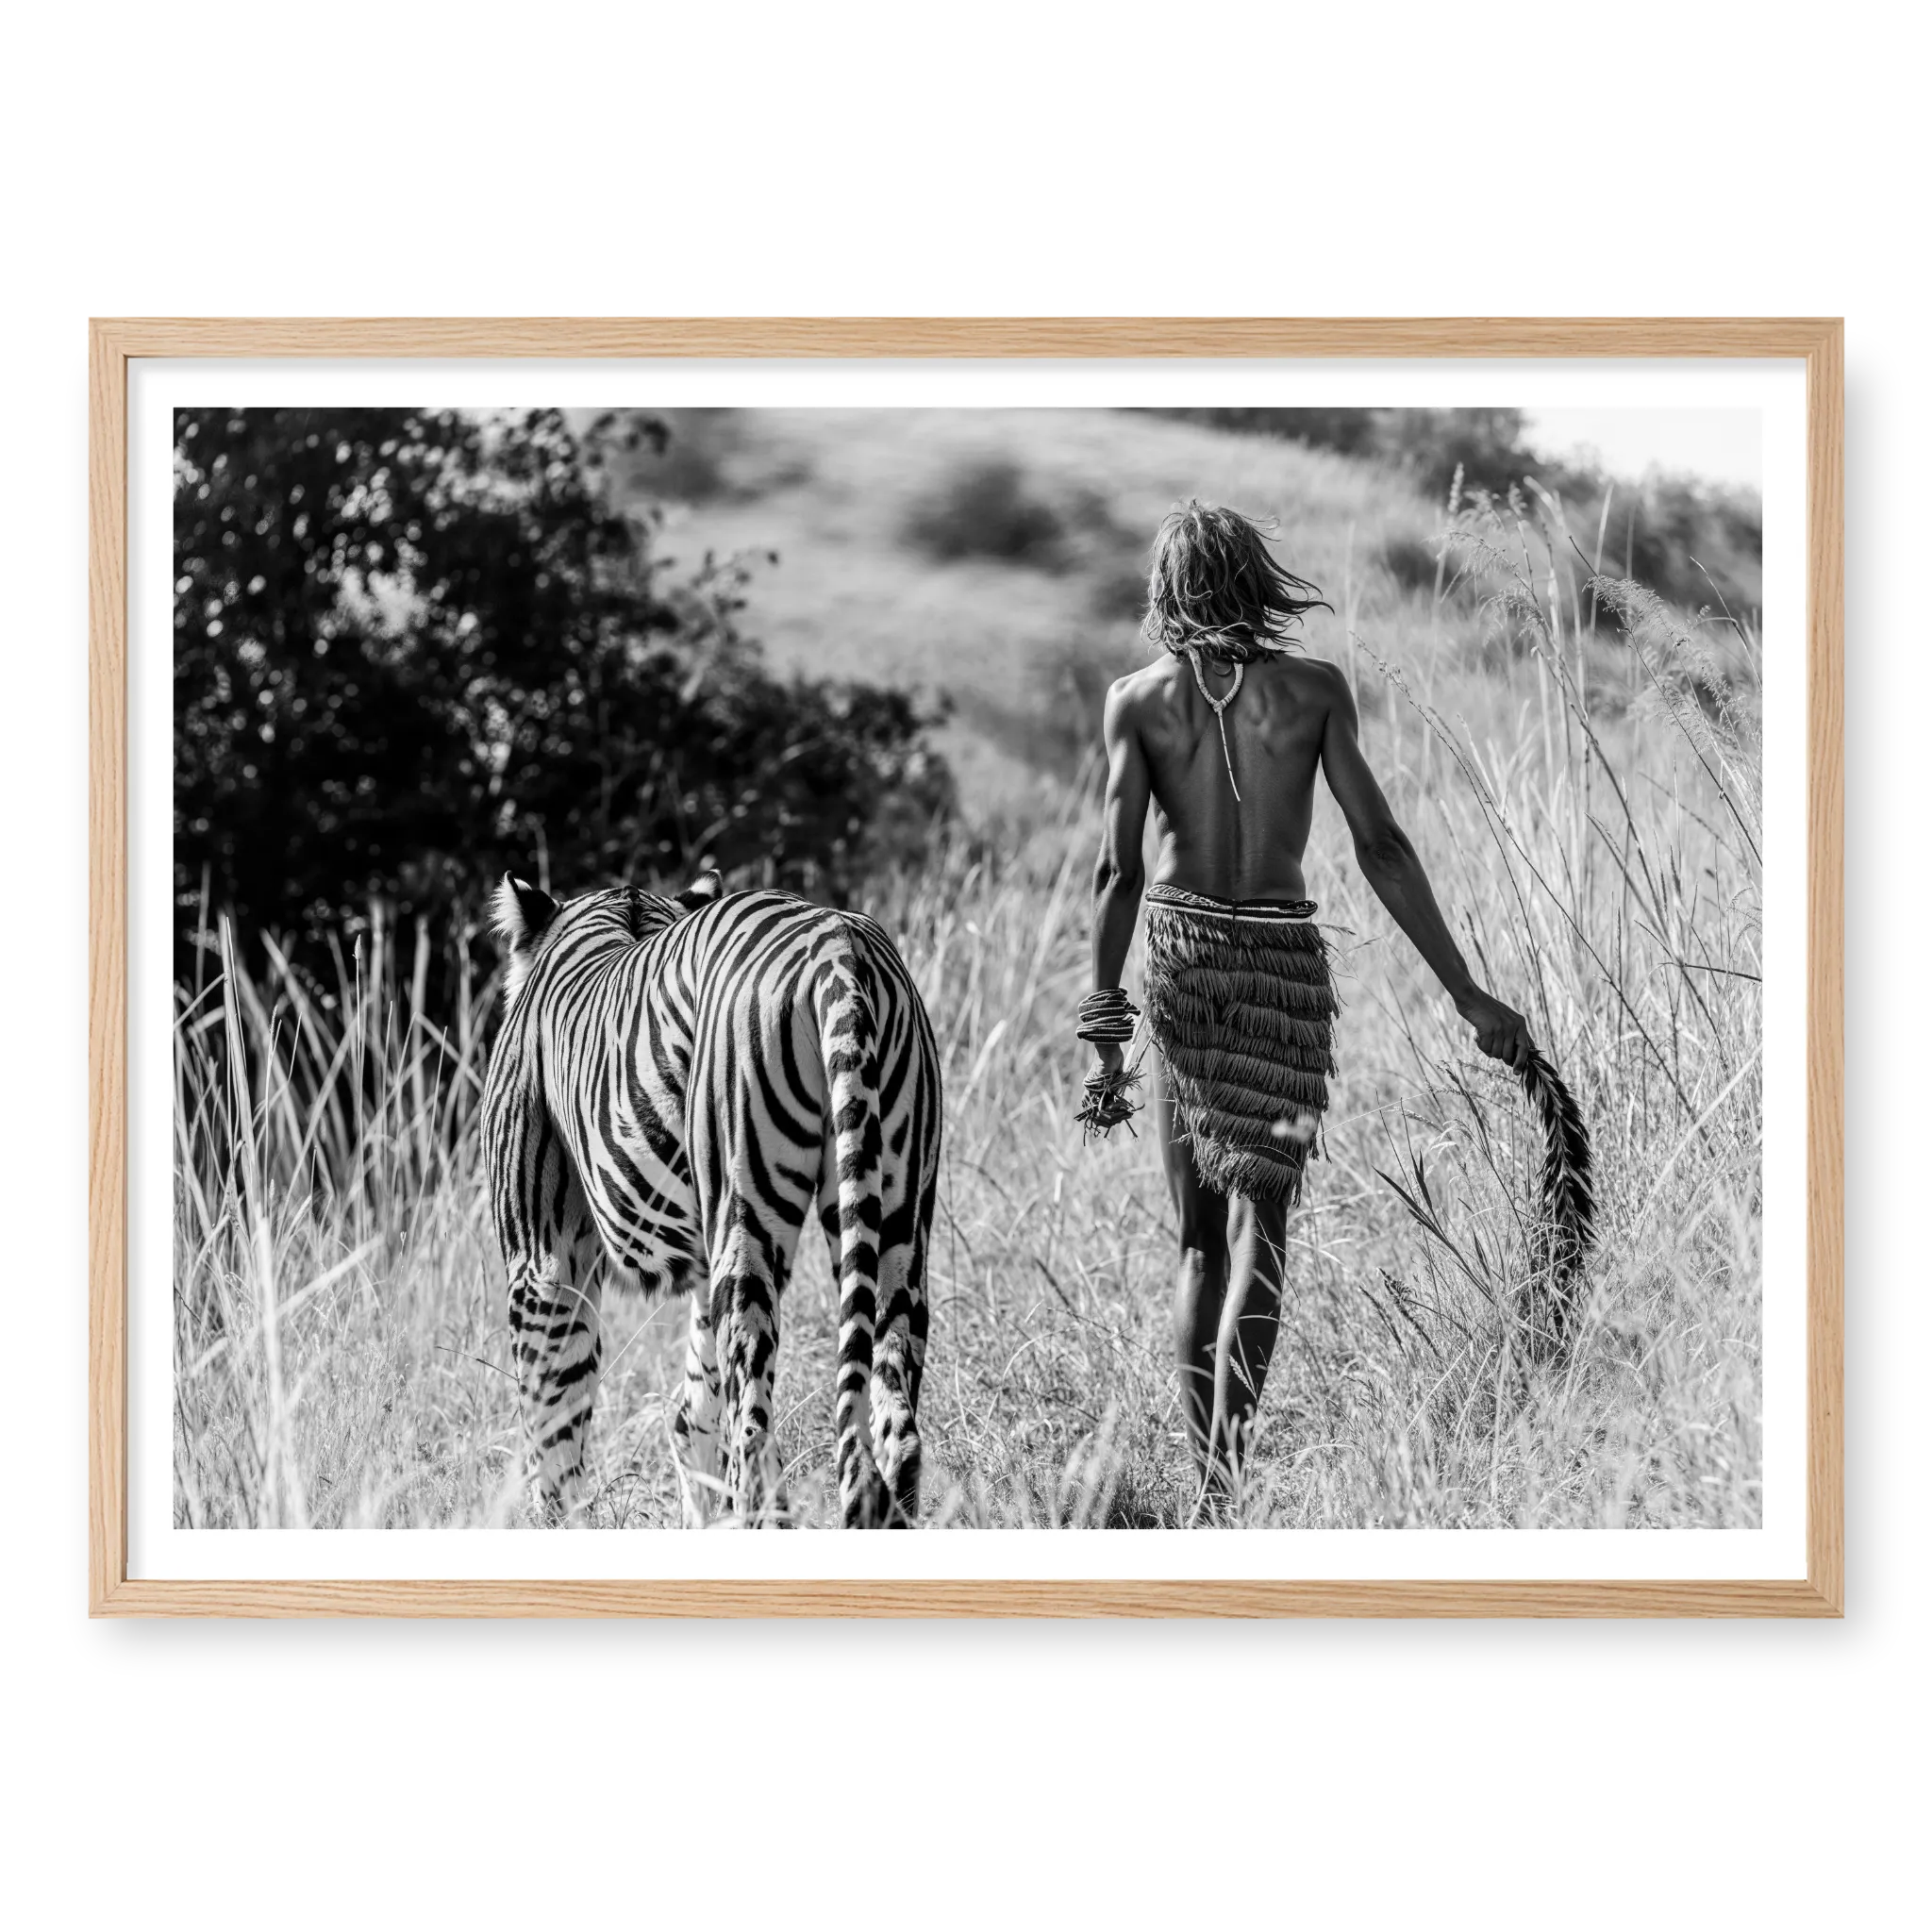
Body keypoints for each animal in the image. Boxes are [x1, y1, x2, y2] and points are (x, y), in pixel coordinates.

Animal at [482, 868, 942, 1530]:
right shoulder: (698, 1266)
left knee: (754, 1436)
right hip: (898, 1224)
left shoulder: (542, 1264)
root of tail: (834, 940)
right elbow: (692, 1413)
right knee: (893, 1424)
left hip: (746, 1219)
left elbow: (555, 1434)